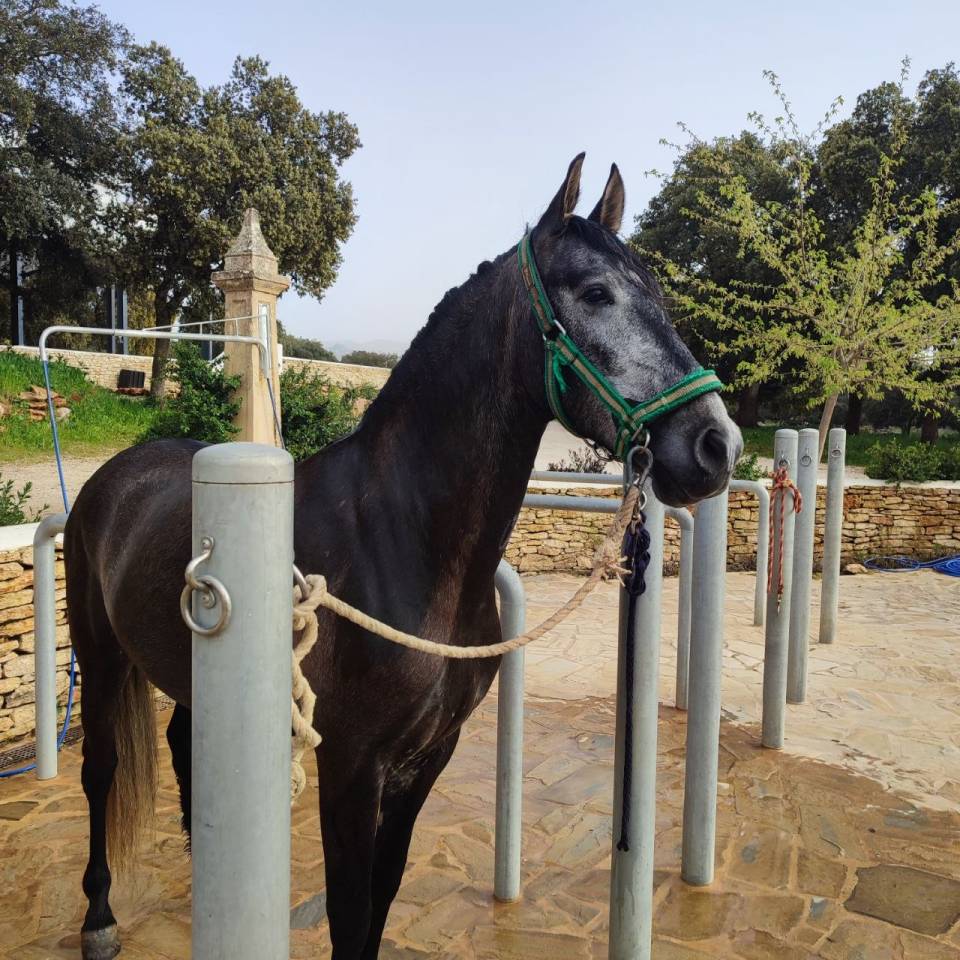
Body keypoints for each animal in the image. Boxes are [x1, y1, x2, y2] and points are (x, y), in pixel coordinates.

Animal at [64, 154, 742, 960]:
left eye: (658, 295)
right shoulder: (350, 768)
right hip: (100, 658)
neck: (401, 540)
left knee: (182, 742)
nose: (716, 445)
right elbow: (350, 912)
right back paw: (99, 918)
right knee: (99, 772)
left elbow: (382, 901)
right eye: (597, 293)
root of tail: (116, 473)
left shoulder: (427, 760)